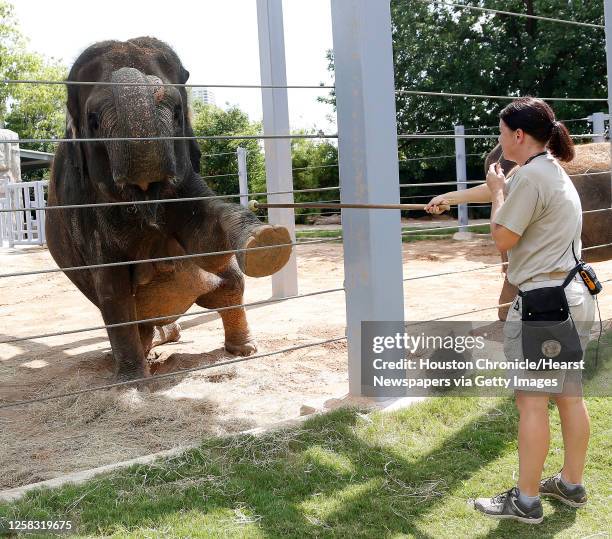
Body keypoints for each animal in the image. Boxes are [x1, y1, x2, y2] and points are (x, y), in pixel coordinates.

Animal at [46, 38, 290, 380]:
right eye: (93, 120)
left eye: (176, 113)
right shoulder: (85, 208)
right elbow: (113, 290)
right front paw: (133, 383)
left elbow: (207, 244)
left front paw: (266, 243)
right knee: (133, 316)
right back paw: (144, 354)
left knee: (231, 286)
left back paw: (241, 350)